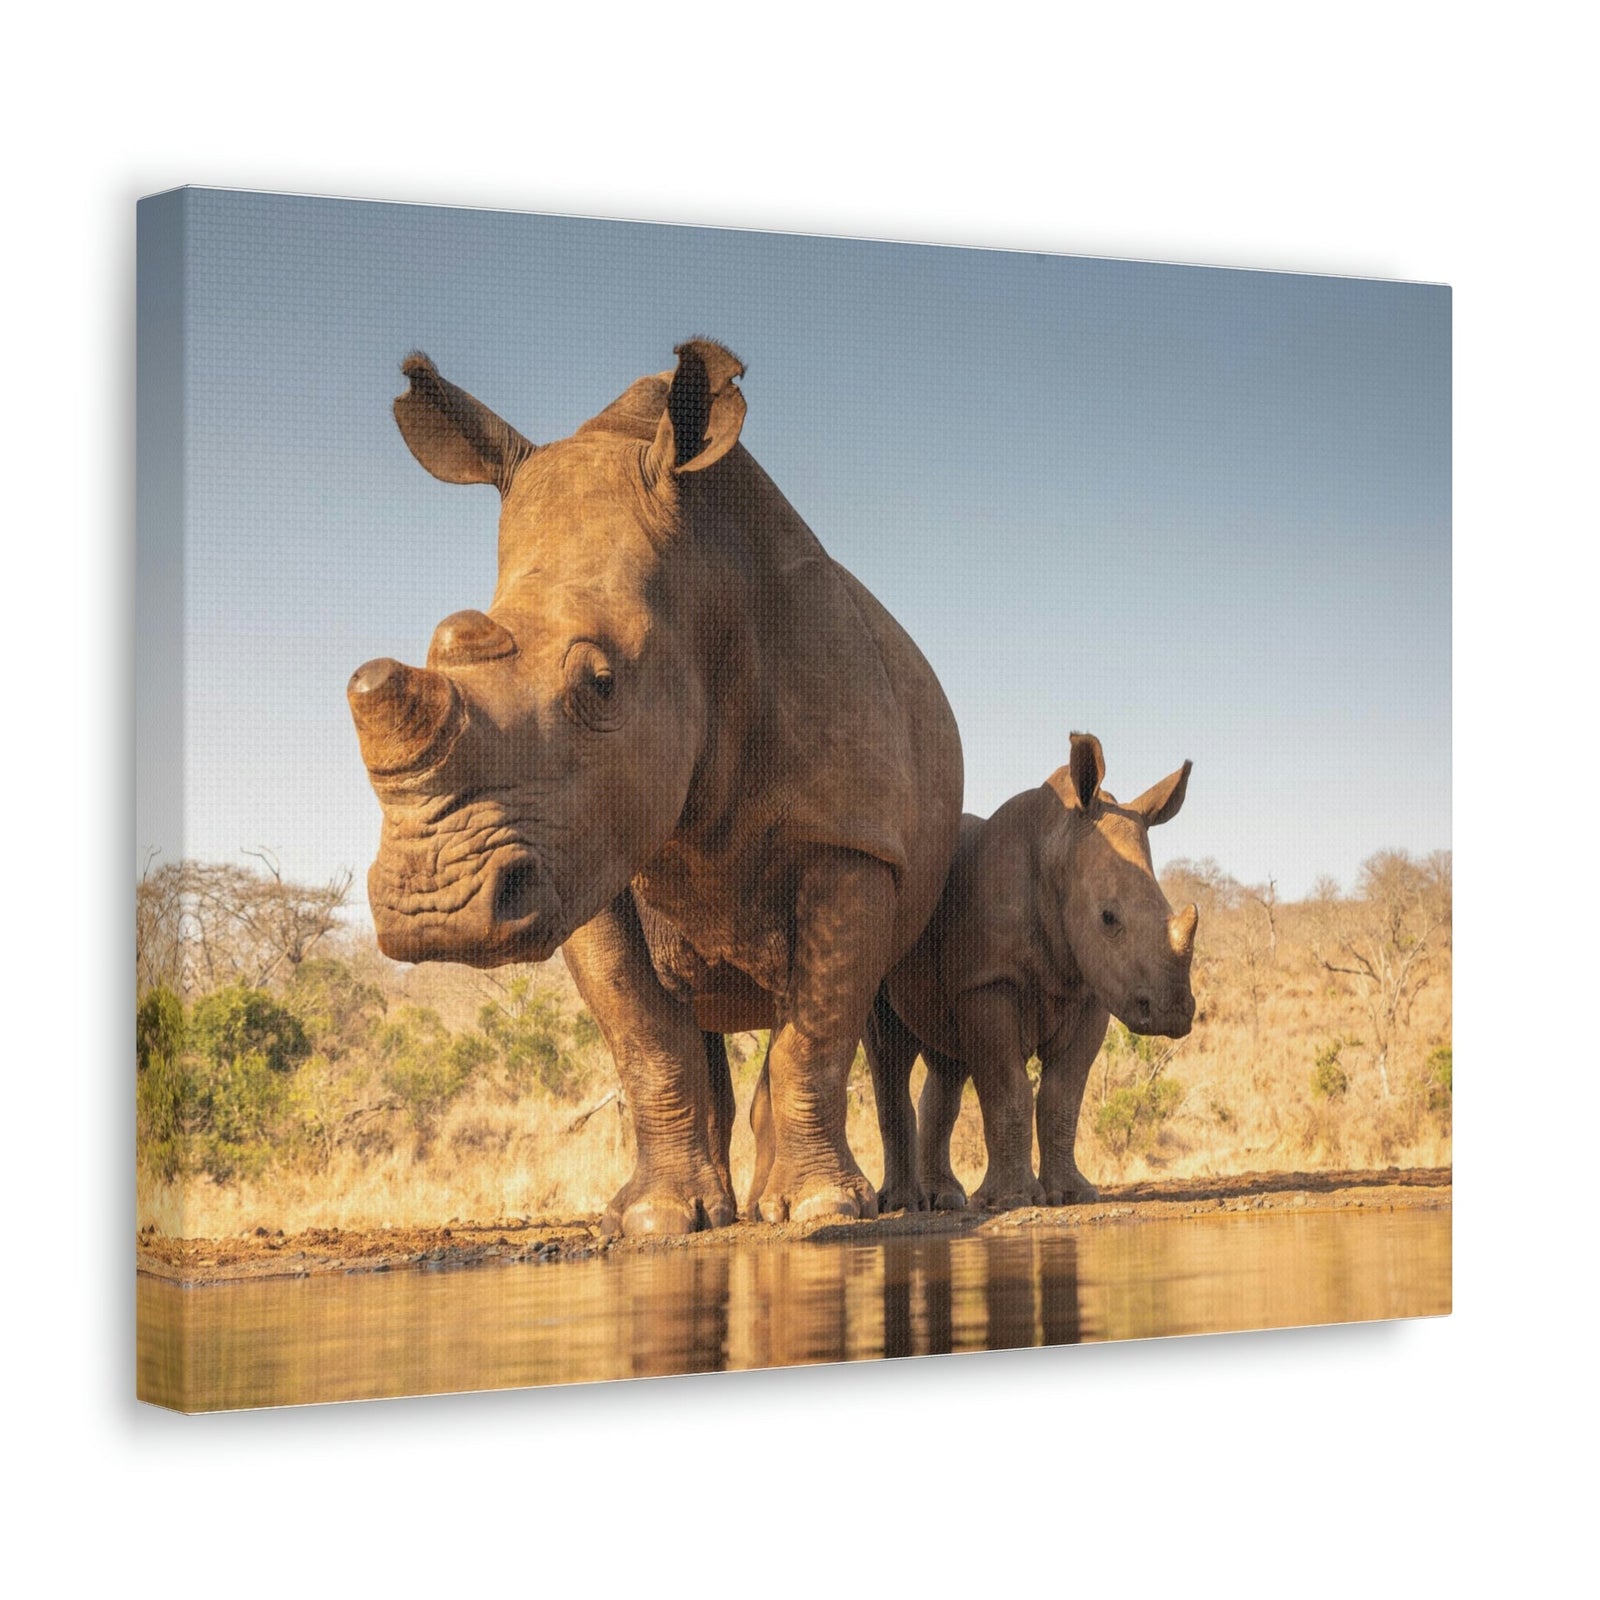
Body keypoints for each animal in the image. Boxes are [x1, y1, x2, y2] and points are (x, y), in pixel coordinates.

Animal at [348, 340, 963, 1234]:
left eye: (601, 684)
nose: (434, 911)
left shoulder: (849, 836)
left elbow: (817, 1028)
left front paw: (818, 1209)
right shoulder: (583, 853)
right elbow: (644, 1036)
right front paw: (657, 1220)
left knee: (877, 1024)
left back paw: (887, 1204)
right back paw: (730, 1207)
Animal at [865, 732, 1197, 1211]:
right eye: (1108, 918)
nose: (1174, 1014)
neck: (1056, 846)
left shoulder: (1091, 990)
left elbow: (1063, 1095)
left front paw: (1073, 1194)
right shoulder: (989, 981)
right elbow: (1008, 1089)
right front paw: (1011, 1200)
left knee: (946, 1062)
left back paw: (946, 1199)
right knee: (887, 1047)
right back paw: (903, 1205)